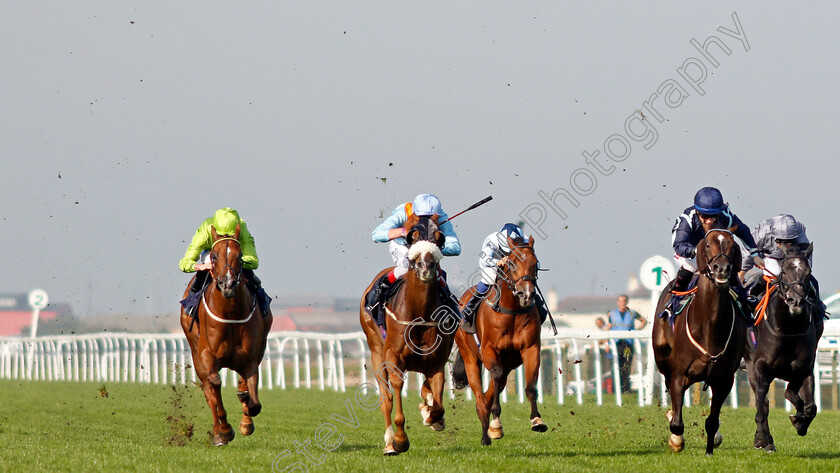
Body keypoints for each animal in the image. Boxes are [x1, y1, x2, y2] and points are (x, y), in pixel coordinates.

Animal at [180, 225, 272, 446]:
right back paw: (218, 433)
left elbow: (253, 399)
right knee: (208, 389)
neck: (229, 314)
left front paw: (246, 420)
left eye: (240, 256)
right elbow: (214, 385)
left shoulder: (250, 358)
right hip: (195, 352)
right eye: (213, 256)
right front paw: (225, 430)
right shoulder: (206, 355)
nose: (227, 284)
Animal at [358, 214, 456, 454]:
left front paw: (431, 415)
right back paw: (389, 443)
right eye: (412, 235)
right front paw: (401, 440)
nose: (425, 266)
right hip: (376, 350)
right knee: (386, 399)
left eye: (439, 237)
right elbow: (396, 391)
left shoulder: (436, 362)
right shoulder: (393, 356)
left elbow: (438, 405)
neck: (419, 315)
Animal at [450, 234, 548, 444]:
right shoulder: (489, 350)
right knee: (481, 396)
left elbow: (530, 386)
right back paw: (486, 433)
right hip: (470, 357)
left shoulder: (531, 348)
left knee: (490, 392)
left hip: (509, 363)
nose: (526, 295)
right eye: (512, 263)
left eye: (535, 264)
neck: (511, 311)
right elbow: (494, 376)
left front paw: (537, 420)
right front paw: (495, 424)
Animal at [652, 229, 744, 454]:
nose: (722, 268)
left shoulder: (724, 380)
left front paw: (710, 449)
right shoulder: (679, 373)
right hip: (662, 356)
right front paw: (676, 440)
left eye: (732, 245)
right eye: (708, 244)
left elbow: (712, 422)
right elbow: (677, 422)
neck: (709, 327)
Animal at [740, 243, 820, 450]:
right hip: (750, 365)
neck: (788, 330)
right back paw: (766, 441)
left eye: (808, 272)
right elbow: (762, 403)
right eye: (784, 271)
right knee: (763, 402)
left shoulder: (804, 368)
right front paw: (761, 438)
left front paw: (800, 421)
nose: (796, 301)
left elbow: (808, 405)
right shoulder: (760, 368)